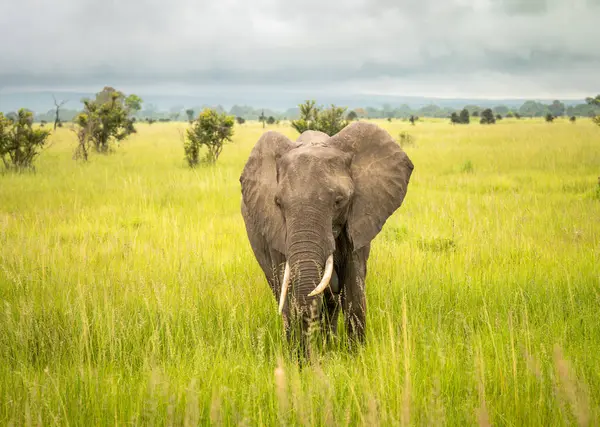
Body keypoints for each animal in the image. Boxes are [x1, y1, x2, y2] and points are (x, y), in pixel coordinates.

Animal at [239, 122, 412, 360]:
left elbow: (353, 286)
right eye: (278, 203)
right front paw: (298, 361)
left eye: (339, 201)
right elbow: (289, 289)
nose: (306, 358)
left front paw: (355, 358)